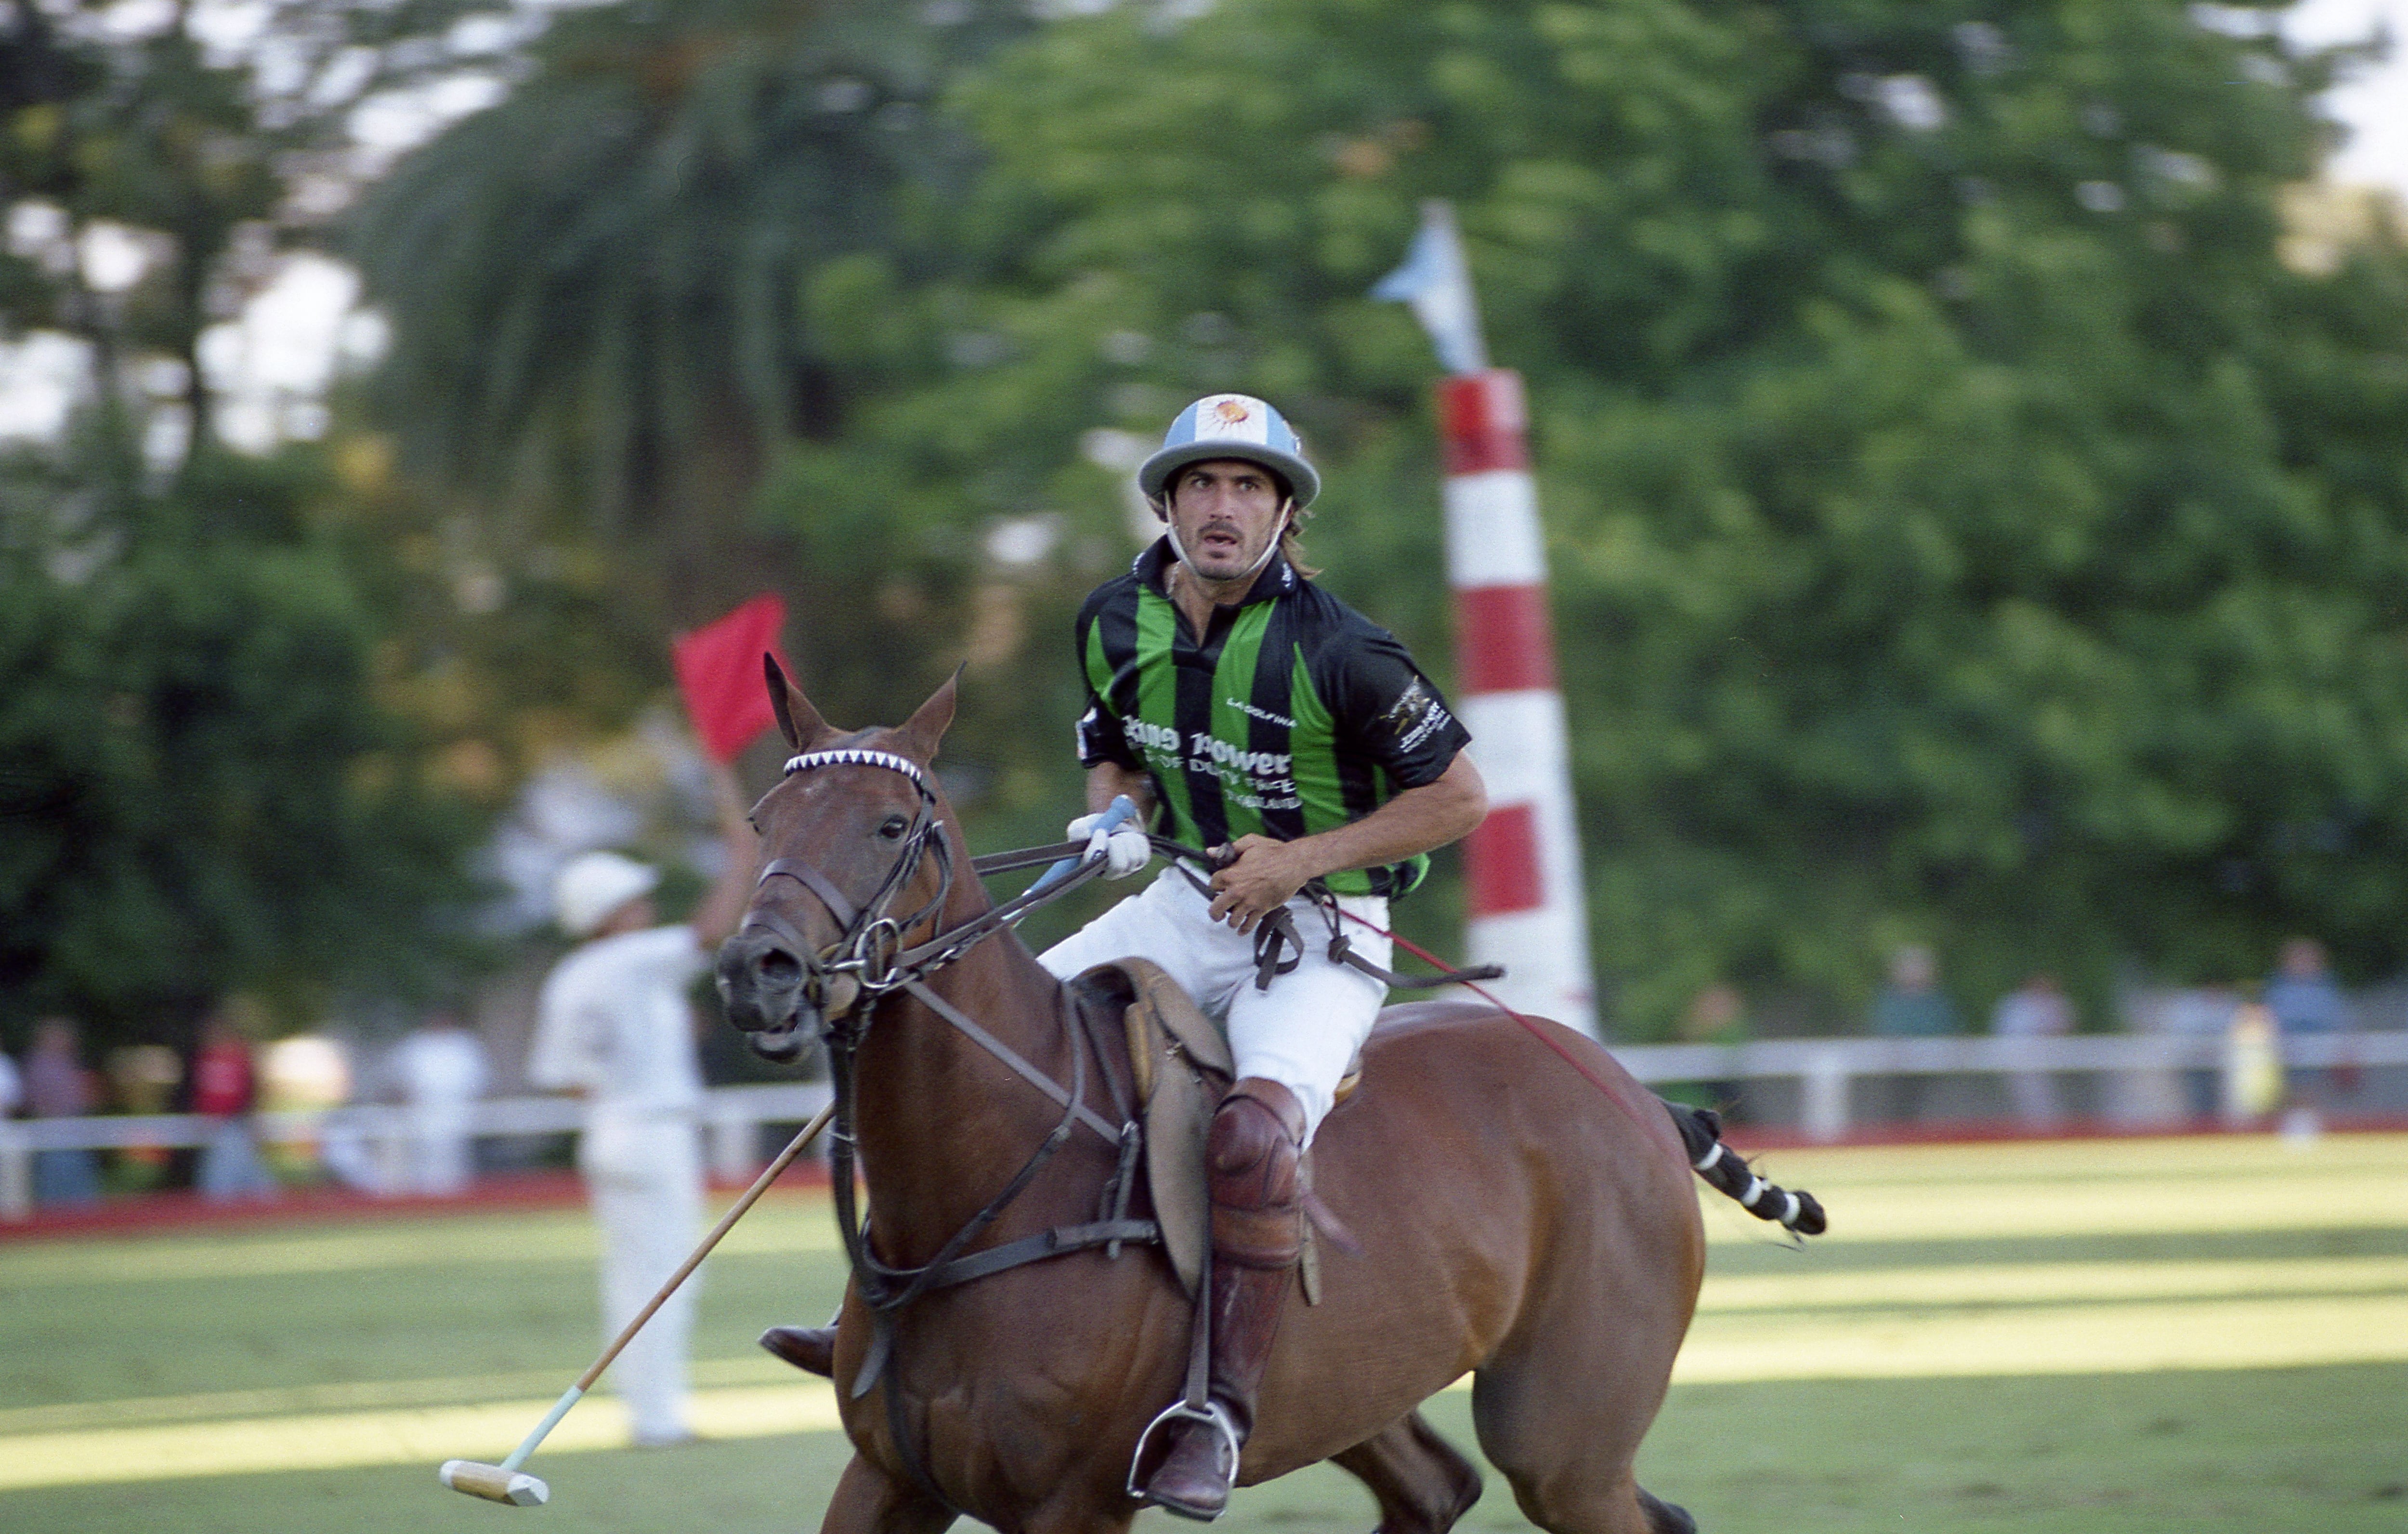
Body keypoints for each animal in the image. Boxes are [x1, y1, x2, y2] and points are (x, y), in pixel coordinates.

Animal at [722, 674, 1811, 1532]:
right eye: (762, 821)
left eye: (891, 825)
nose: (756, 970)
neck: (980, 1188)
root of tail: (1638, 1095)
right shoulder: (886, 1476)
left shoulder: (1071, 1503)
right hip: (1355, 1383)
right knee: (1438, 1488)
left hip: (1562, 1438)